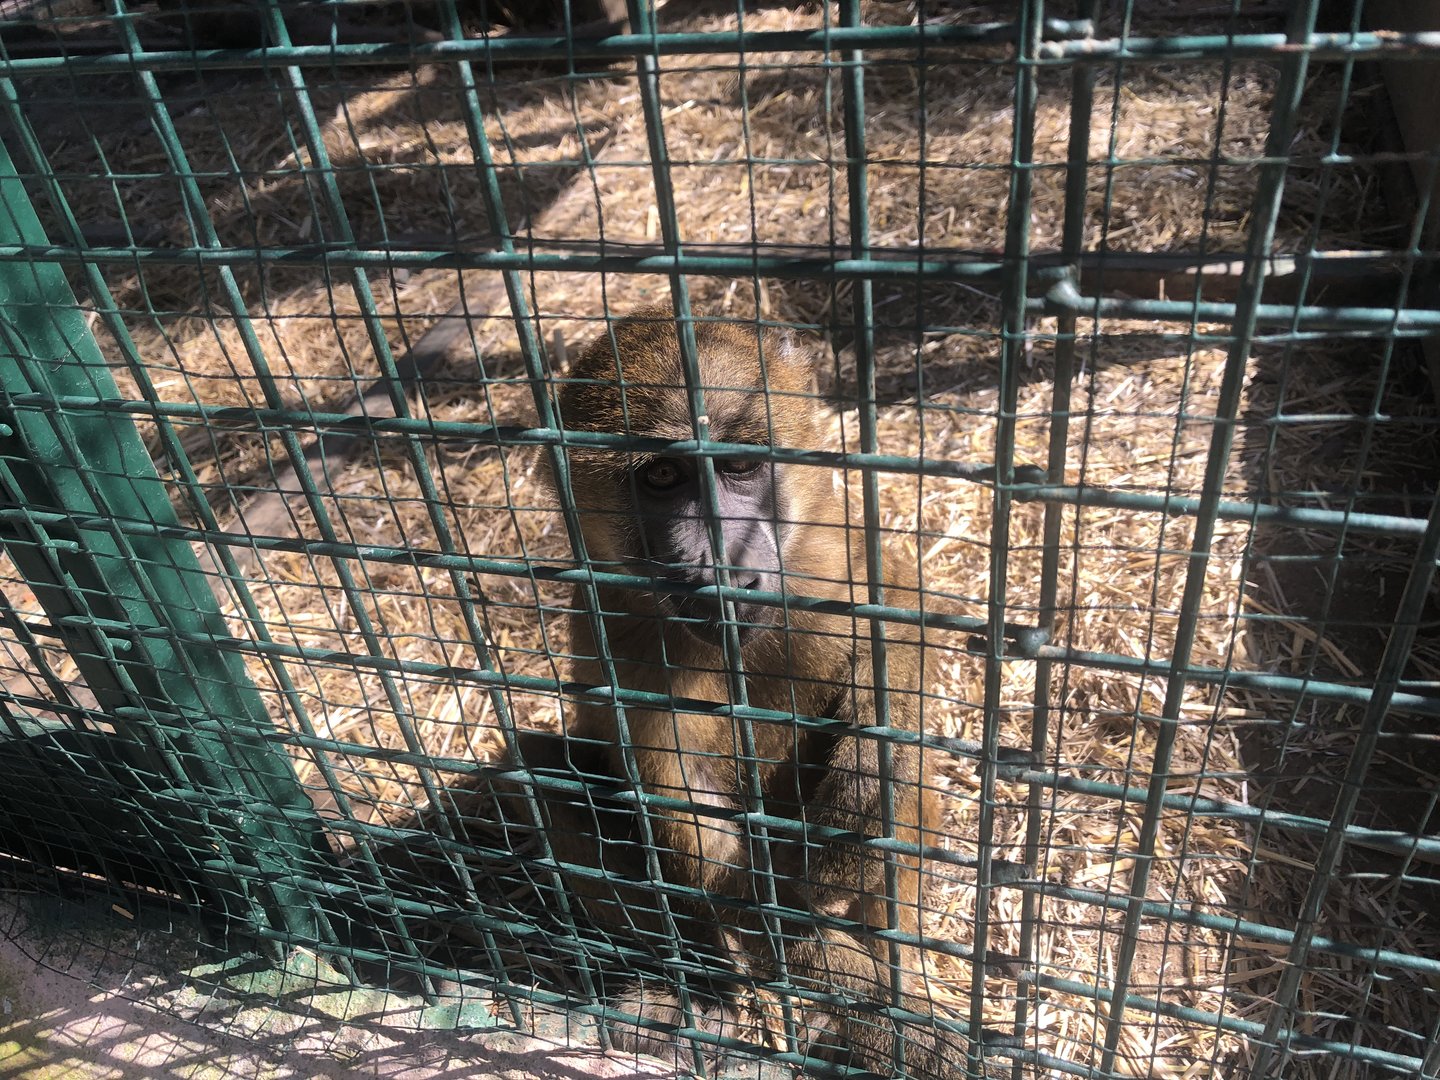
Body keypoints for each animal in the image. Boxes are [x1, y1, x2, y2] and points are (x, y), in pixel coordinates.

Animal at [470, 309, 998, 1079]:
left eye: (740, 467)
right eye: (663, 476)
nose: (724, 568)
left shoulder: (827, 551)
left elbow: (900, 605)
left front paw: (874, 769)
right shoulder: (621, 644)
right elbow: (703, 840)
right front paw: (891, 1019)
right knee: (538, 776)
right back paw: (698, 993)